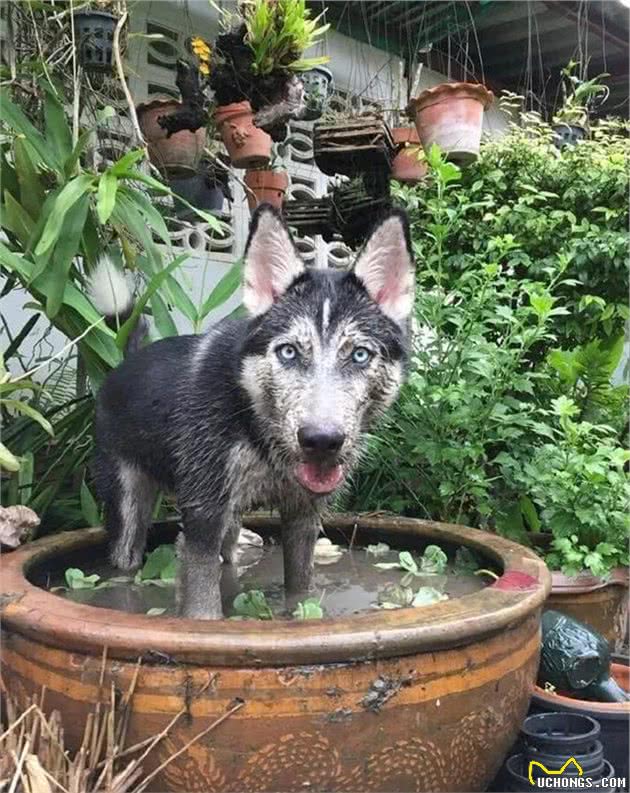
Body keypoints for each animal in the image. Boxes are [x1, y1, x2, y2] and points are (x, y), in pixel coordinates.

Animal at [92, 204, 414, 620]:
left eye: (360, 355)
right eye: (288, 351)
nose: (321, 441)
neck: (258, 424)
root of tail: (125, 362)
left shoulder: (302, 516)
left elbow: (301, 588)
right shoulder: (203, 512)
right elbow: (202, 605)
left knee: (228, 551)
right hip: (128, 511)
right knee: (126, 562)